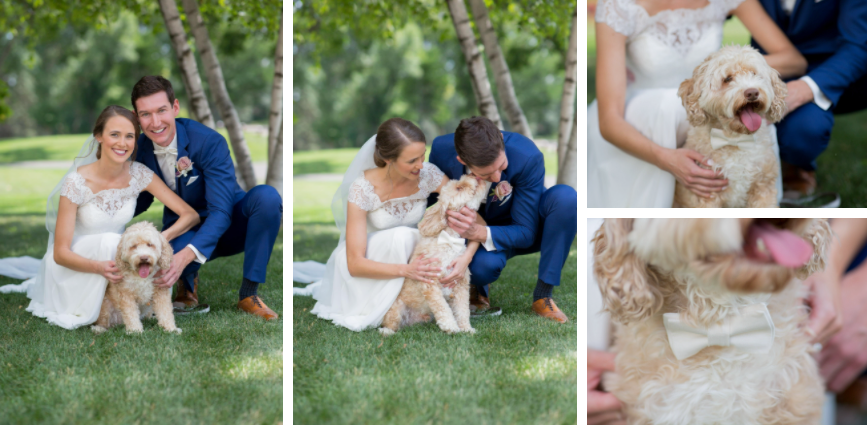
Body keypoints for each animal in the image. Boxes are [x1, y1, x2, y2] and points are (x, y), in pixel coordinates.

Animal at [378, 173, 492, 334]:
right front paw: (451, 327)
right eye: (459, 188)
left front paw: (466, 329)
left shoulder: (461, 283)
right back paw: (386, 332)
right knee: (391, 324)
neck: (449, 241)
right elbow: (443, 308)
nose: (472, 174)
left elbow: (463, 310)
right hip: (396, 309)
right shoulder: (431, 284)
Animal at [676, 45, 792, 206]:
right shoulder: (705, 195)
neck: (736, 140)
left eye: (754, 74)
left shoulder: (763, 188)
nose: (752, 92)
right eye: (728, 79)